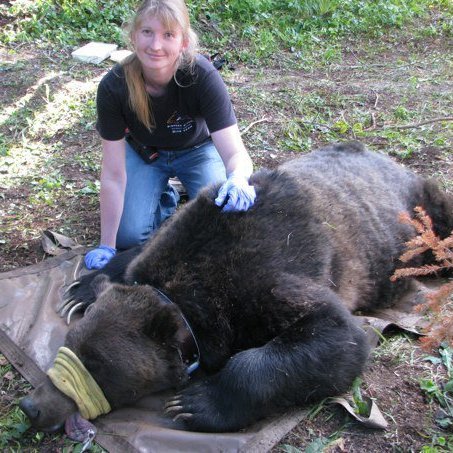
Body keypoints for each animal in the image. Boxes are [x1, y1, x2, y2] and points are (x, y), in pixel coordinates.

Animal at [18, 142, 452, 434]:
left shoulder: (263, 282)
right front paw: (82, 289)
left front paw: (196, 403)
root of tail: (393, 162)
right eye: (70, 343)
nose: (31, 406)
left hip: (423, 210)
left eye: (98, 364)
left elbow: (336, 335)